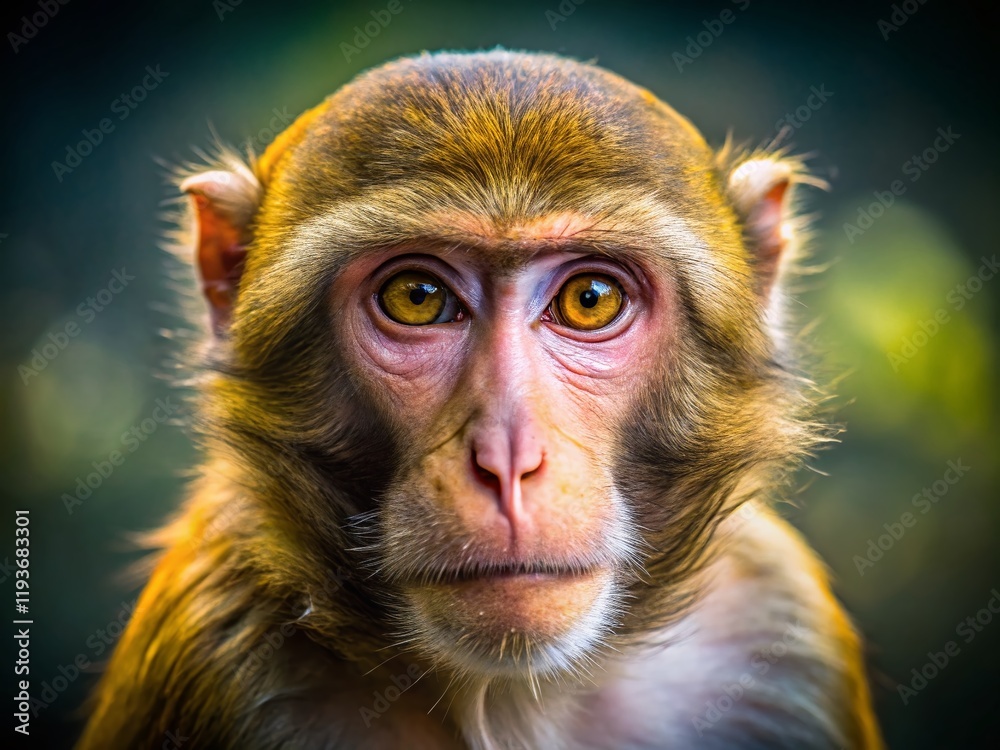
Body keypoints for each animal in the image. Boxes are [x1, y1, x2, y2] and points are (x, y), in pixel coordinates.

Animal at [77, 50, 883, 750]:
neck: (514, 699)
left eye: (591, 298)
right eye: (418, 296)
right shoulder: (215, 644)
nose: (507, 459)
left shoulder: (779, 630)